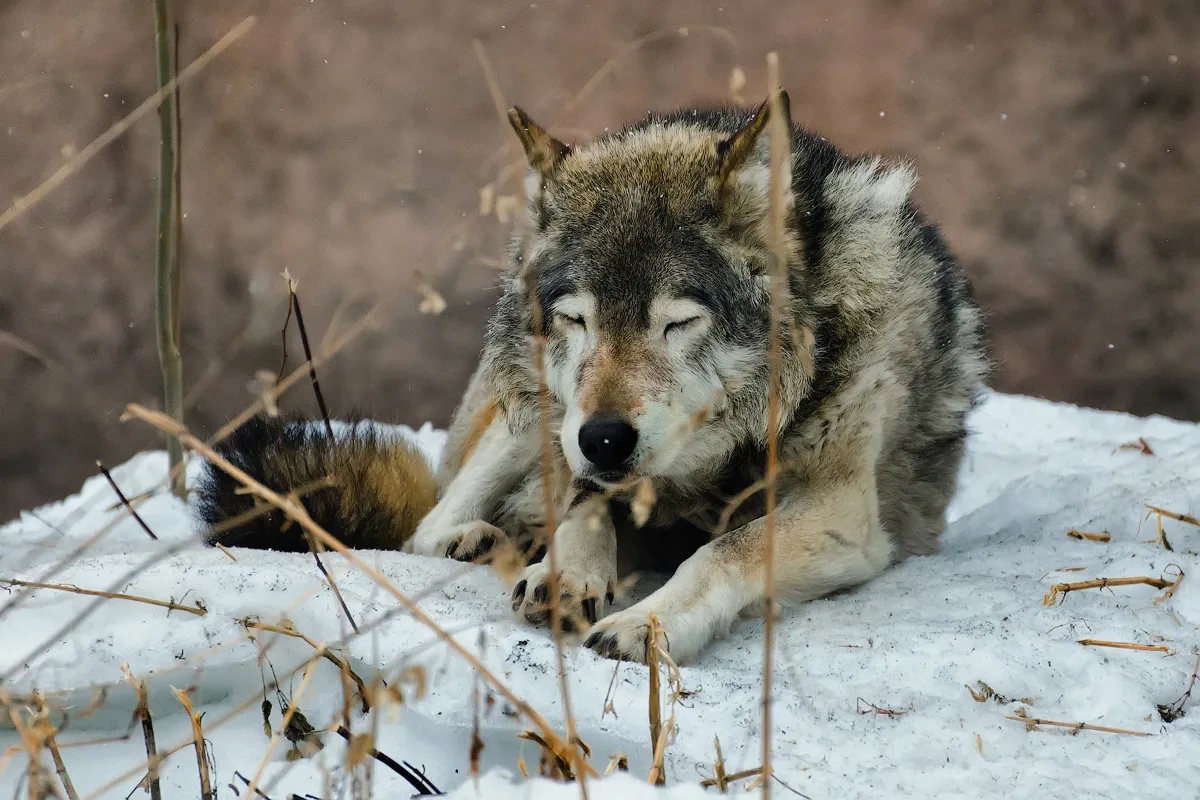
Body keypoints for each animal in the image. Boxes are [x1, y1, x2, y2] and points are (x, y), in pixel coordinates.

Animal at [196, 90, 988, 666]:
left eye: (678, 322)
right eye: (576, 320)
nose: (605, 438)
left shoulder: (843, 509)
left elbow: (724, 549)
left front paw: (650, 621)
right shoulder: (576, 448)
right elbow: (583, 503)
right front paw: (564, 572)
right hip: (528, 418)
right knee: (429, 522)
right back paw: (479, 540)